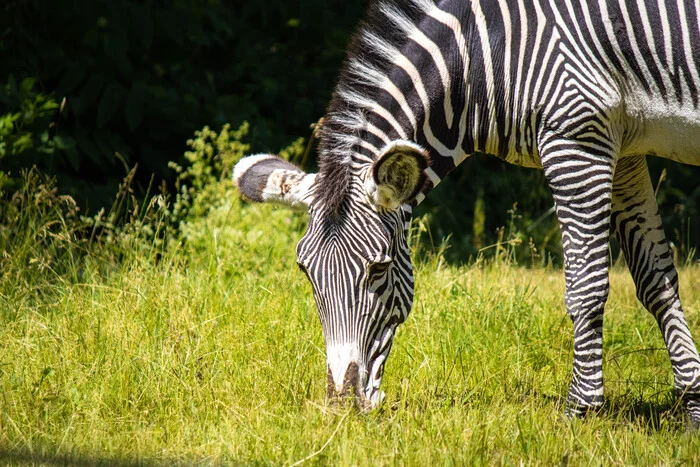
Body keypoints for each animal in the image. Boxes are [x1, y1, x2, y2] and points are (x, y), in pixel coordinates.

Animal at [232, 0, 700, 424]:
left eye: (379, 268)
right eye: (304, 271)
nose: (342, 408)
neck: (488, 58)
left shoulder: (578, 140)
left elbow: (586, 285)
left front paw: (579, 412)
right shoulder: (625, 150)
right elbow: (655, 282)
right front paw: (692, 407)